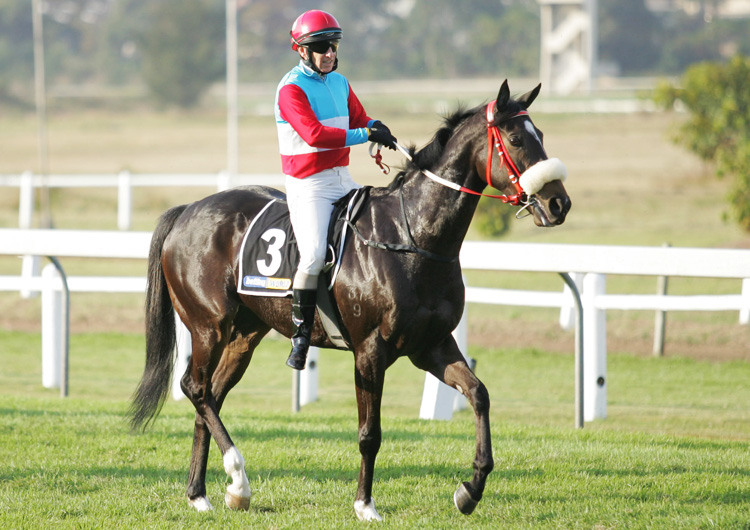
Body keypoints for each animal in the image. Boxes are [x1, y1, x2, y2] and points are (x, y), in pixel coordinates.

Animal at [129, 80, 571, 521]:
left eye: (540, 135)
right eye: (515, 139)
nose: (558, 203)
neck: (412, 237)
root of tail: (189, 209)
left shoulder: (432, 345)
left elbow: (479, 394)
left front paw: (470, 489)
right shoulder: (370, 351)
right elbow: (369, 433)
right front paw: (365, 503)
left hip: (243, 337)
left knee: (210, 399)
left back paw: (201, 493)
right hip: (209, 327)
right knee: (195, 388)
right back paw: (238, 479)